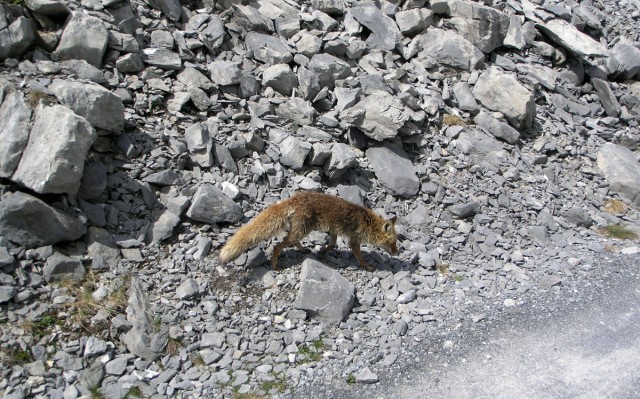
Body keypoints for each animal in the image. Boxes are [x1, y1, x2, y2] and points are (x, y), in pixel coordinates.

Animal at [220, 191, 400, 272]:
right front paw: (366, 266)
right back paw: (275, 264)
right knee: (278, 245)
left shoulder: (334, 231)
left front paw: (322, 252)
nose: (397, 253)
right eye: (392, 243)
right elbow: (359, 257)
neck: (367, 222)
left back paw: (303, 250)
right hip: (302, 231)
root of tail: (295, 198)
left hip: (300, 230)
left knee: (290, 241)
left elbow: (332, 245)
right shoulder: (354, 241)